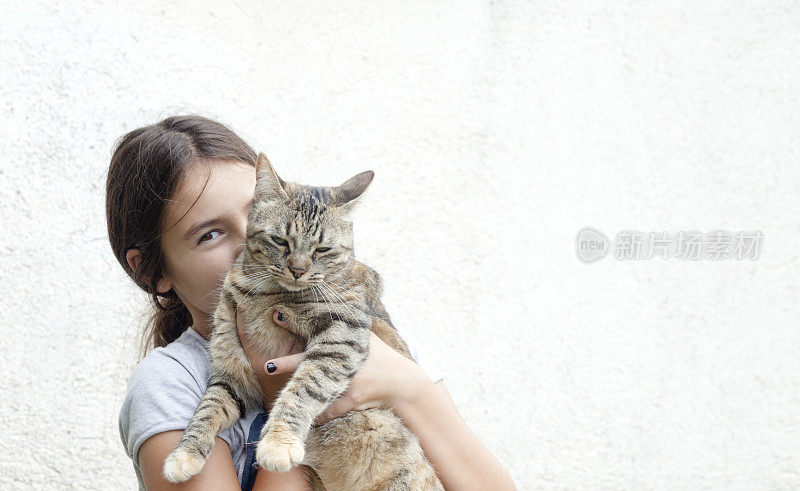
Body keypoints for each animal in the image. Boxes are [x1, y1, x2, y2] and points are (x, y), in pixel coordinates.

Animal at [162, 154, 444, 491]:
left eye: (322, 250)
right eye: (279, 240)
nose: (297, 269)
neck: (262, 293)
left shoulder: (343, 332)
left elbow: (304, 387)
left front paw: (277, 443)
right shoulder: (231, 370)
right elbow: (209, 406)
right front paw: (184, 455)